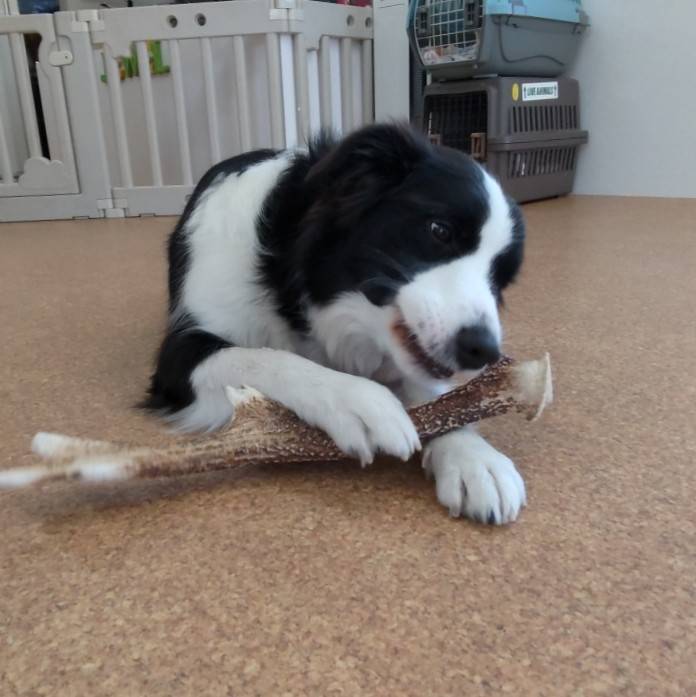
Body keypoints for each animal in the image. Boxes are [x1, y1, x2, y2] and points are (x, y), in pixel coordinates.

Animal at [142, 123, 526, 524]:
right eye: (439, 230)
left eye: (501, 279)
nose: (483, 350)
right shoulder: (180, 354)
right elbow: (264, 357)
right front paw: (357, 399)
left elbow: (445, 400)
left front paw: (474, 456)